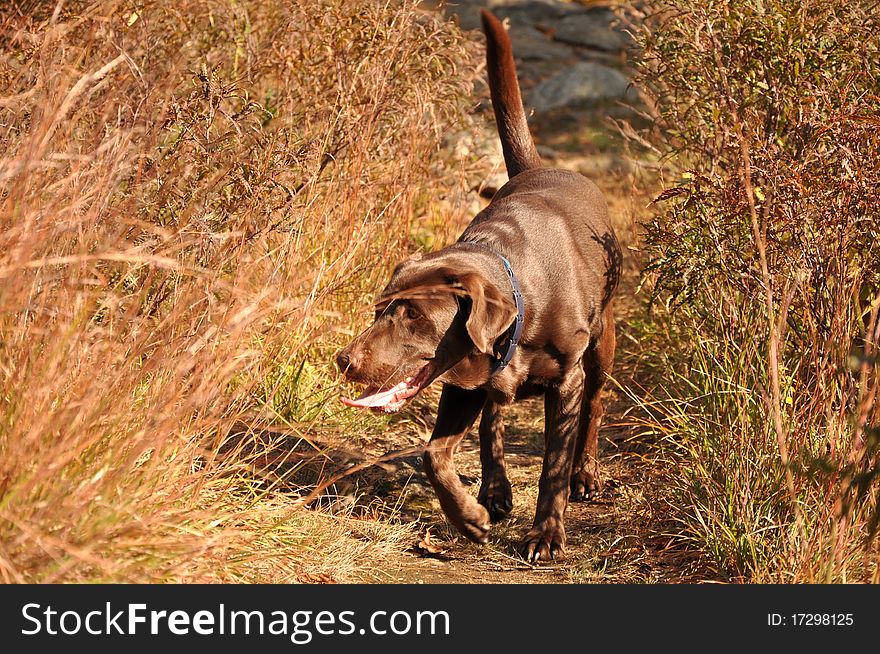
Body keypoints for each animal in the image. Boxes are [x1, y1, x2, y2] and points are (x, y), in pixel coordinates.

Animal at [336, 9, 620, 564]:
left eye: (414, 316)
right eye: (379, 309)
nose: (345, 360)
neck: (522, 291)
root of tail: (540, 166)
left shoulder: (565, 381)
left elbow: (552, 467)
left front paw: (546, 534)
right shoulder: (456, 380)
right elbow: (434, 456)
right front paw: (469, 518)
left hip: (602, 343)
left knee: (595, 407)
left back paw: (586, 475)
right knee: (493, 420)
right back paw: (494, 489)